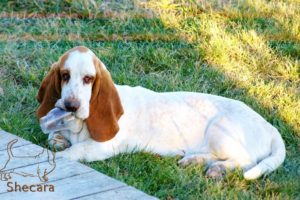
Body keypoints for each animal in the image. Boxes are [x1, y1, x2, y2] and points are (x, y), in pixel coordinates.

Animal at [37, 46, 286, 180]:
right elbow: (54, 138)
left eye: (88, 79)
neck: (79, 125)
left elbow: (73, 152)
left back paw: (217, 169)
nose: (71, 105)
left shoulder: (102, 147)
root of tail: (271, 128)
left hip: (220, 131)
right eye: (65, 75)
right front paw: (58, 139)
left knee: (245, 160)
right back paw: (194, 161)